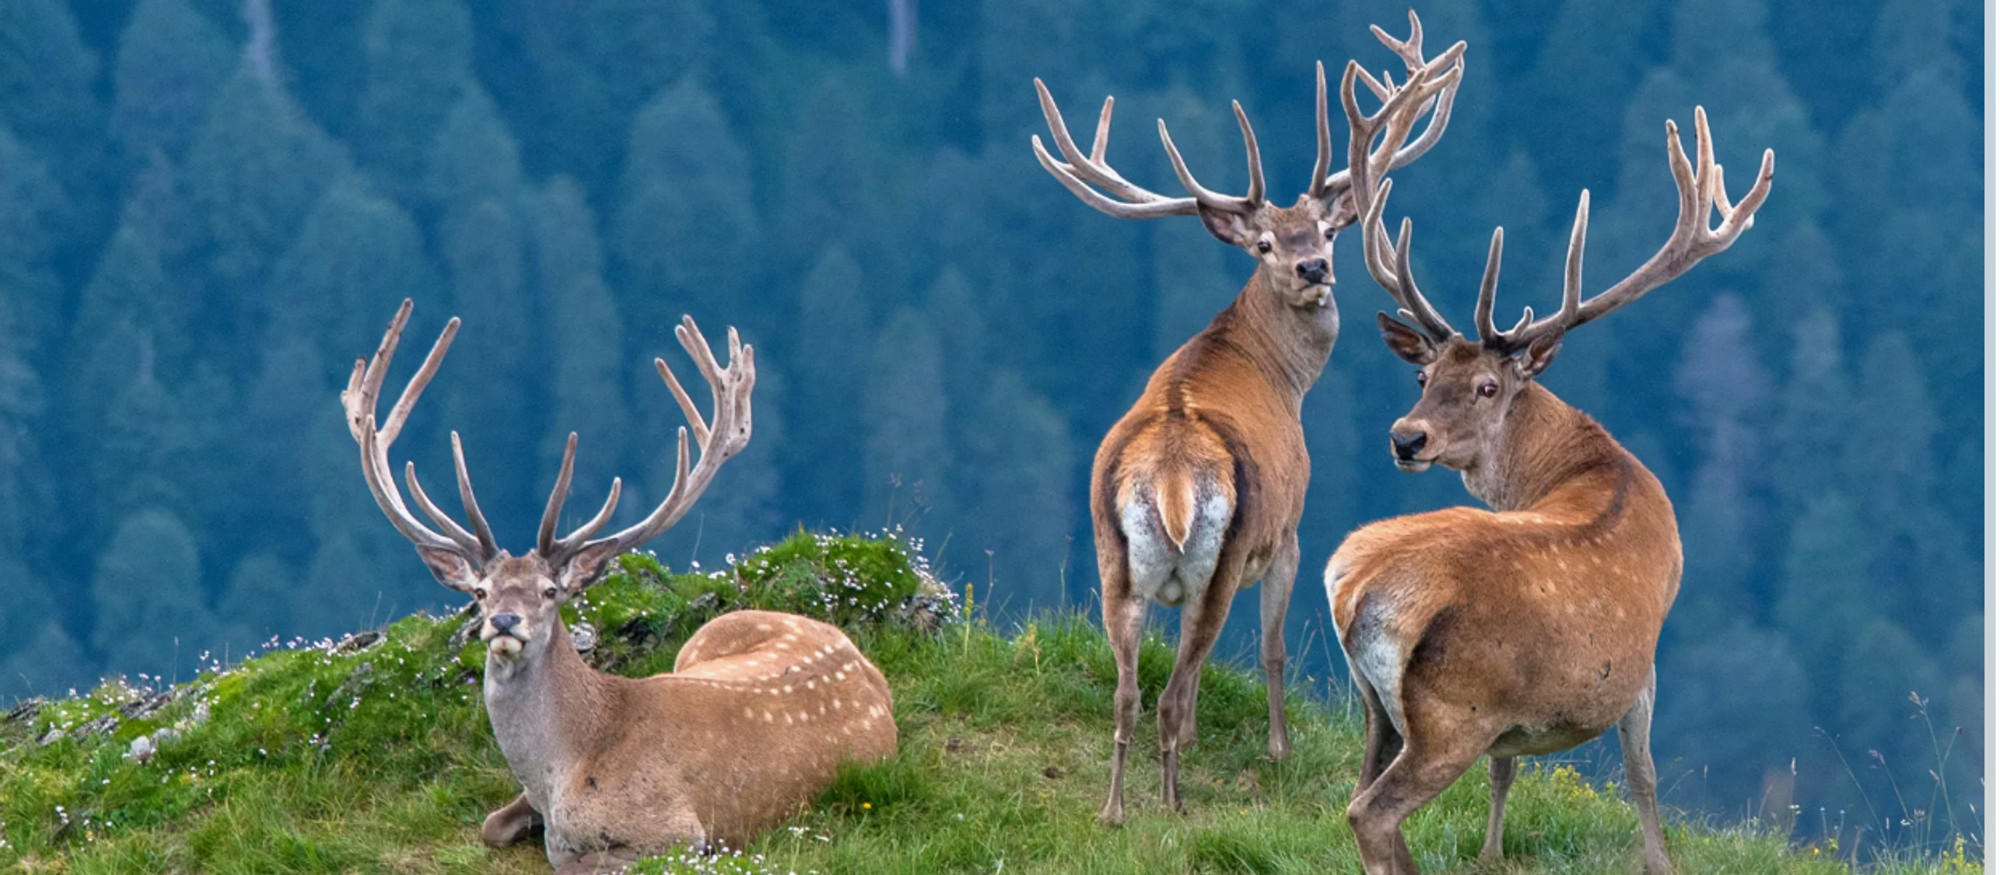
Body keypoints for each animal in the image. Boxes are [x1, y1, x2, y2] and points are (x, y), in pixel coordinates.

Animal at [346, 299, 900, 867]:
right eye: (481, 593)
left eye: (551, 592)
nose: (503, 620)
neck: (565, 770)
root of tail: (861, 660)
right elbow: (490, 825)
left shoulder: (678, 835)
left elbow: (576, 863)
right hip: (701, 642)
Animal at [1328, 105, 1768, 871]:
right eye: (1423, 375)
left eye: (1485, 385)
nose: (1406, 437)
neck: (1590, 464)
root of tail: (1354, 587)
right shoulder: (1644, 654)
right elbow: (1642, 769)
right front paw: (1659, 860)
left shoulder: (1513, 715)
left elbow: (1508, 767)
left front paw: (1490, 853)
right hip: (1453, 711)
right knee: (1369, 811)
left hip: (1376, 705)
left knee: (1358, 795)